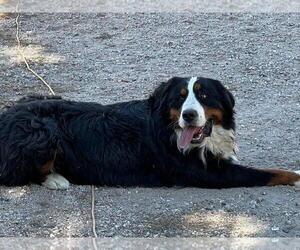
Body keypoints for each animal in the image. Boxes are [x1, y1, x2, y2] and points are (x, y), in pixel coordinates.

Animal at [0, 77, 298, 188]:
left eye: (204, 96)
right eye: (179, 98)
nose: (189, 115)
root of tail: (7, 115)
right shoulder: (209, 173)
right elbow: (268, 173)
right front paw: (295, 175)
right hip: (42, 131)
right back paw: (56, 179)